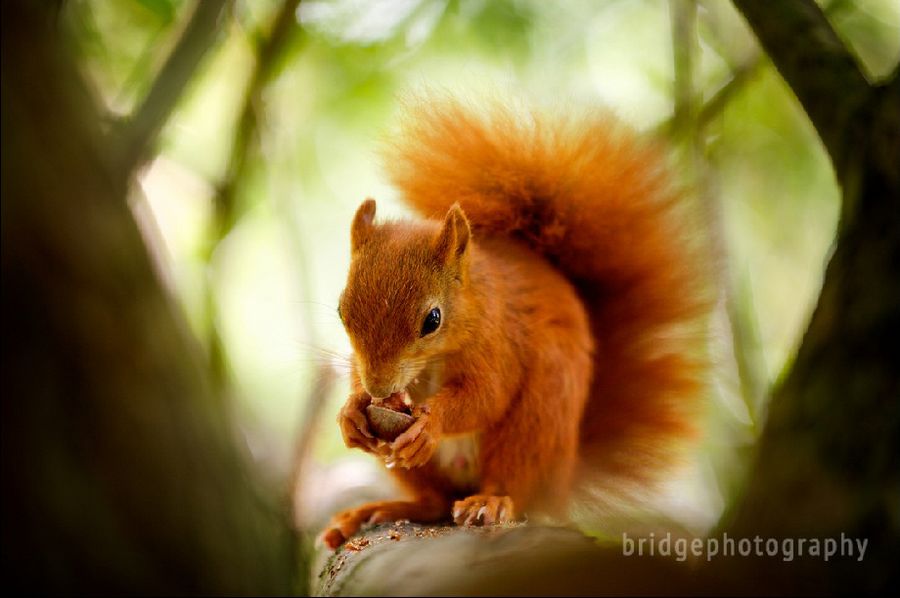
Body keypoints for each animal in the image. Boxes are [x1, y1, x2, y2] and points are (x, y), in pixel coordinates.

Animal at [320, 95, 712, 552]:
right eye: (341, 310)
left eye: (432, 319)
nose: (380, 389)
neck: (433, 360)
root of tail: (560, 482)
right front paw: (350, 412)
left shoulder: (498, 341)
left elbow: (487, 394)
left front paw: (430, 424)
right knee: (433, 502)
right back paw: (378, 510)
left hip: (535, 421)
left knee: (511, 484)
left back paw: (490, 501)